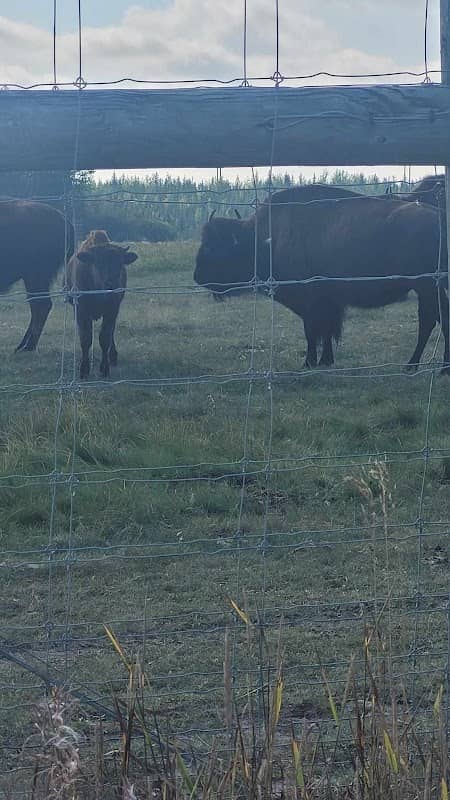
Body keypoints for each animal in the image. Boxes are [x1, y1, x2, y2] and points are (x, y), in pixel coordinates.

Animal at [0, 200, 74, 351]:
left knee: (41, 305)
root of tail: (65, 221)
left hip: (35, 277)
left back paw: (27, 347)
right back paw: (22, 345)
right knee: (37, 305)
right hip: (34, 279)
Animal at [66, 230, 138, 379]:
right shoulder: (81, 311)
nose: (112, 283)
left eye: (120, 263)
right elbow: (85, 338)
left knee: (111, 333)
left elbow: (105, 338)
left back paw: (113, 357)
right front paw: (84, 370)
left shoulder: (112, 310)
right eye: (98, 263)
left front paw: (105, 369)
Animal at [194, 184, 449, 372]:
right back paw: (424, 366)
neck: (261, 239)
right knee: (435, 318)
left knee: (433, 319)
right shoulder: (328, 302)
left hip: (426, 286)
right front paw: (326, 360)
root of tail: (439, 218)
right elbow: (325, 331)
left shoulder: (311, 302)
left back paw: (424, 366)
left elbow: (312, 331)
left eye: (212, 247)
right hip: (428, 288)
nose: (197, 276)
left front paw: (308, 363)